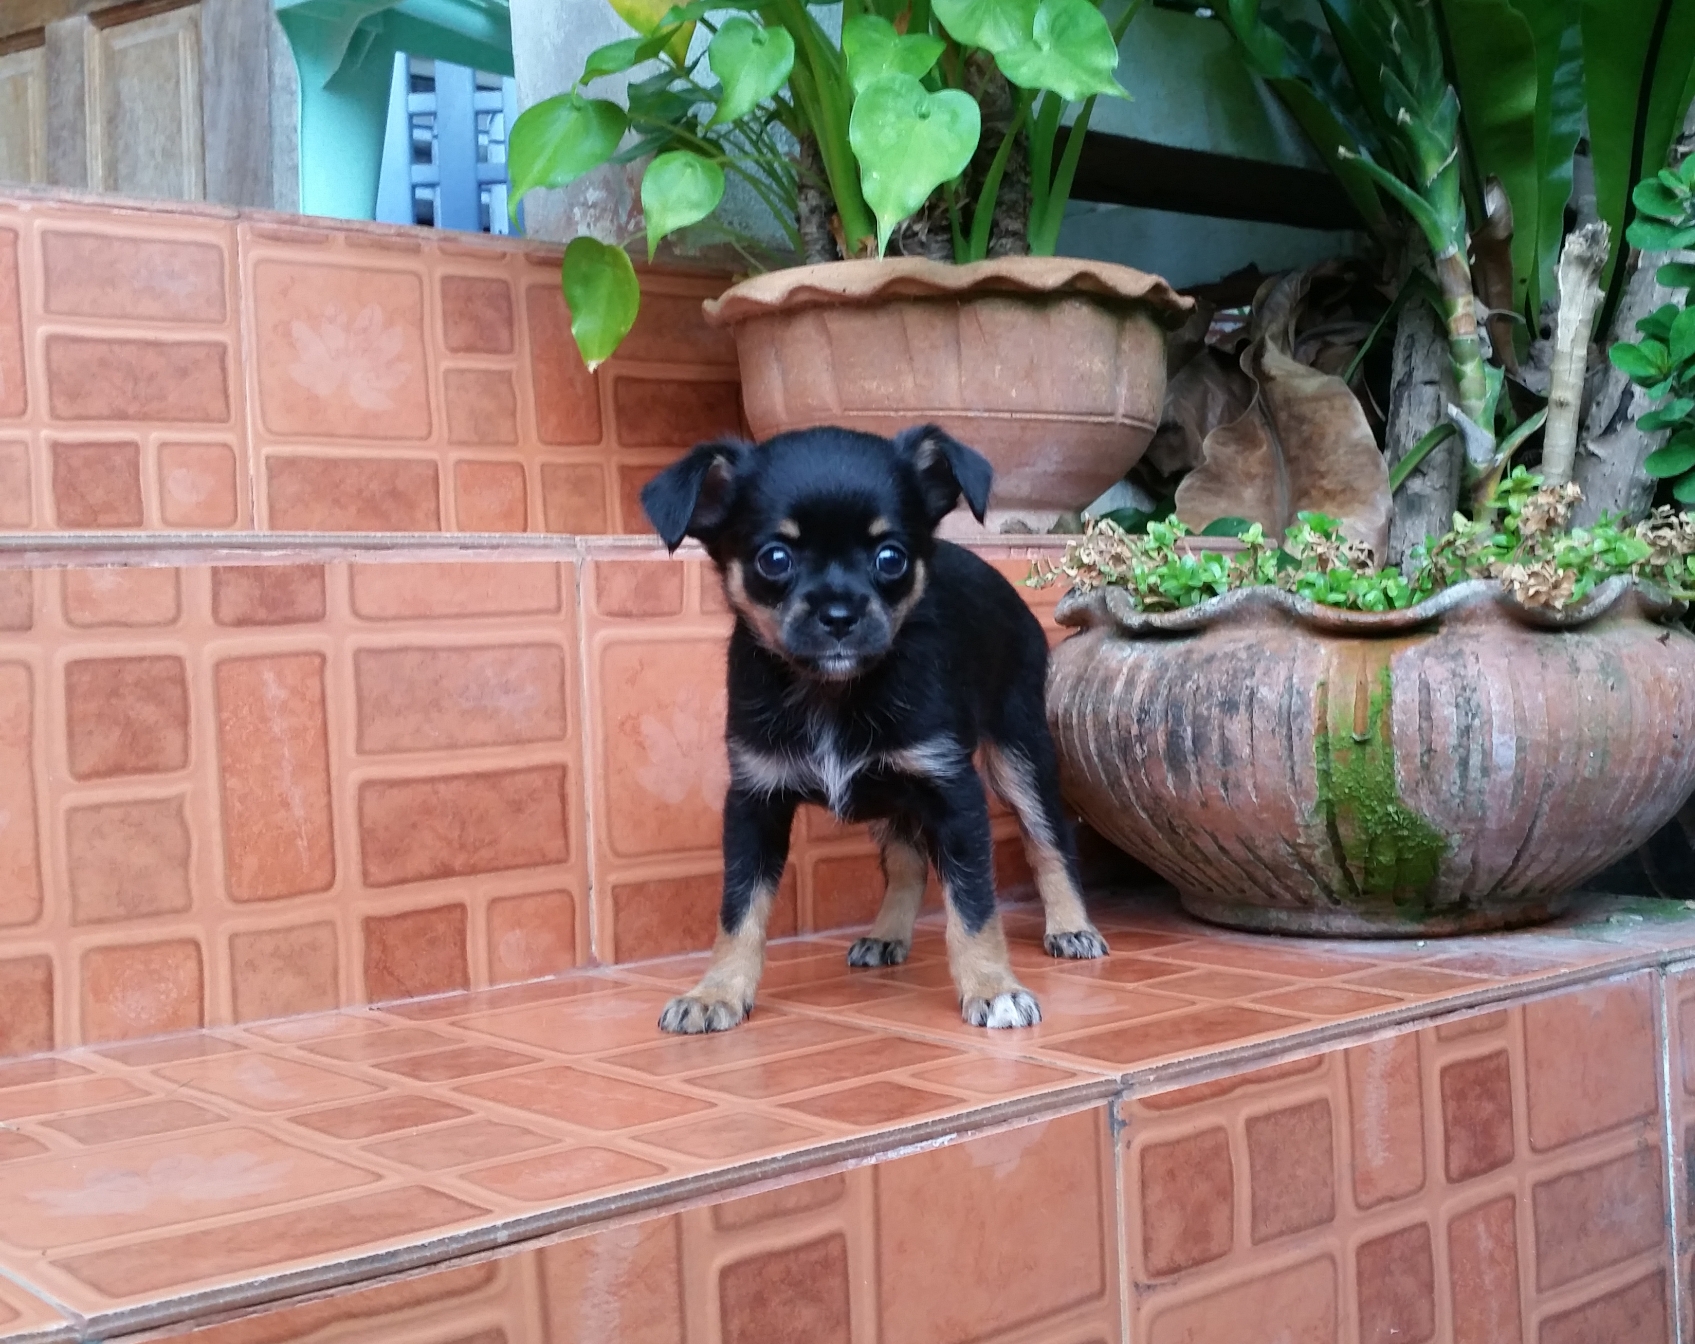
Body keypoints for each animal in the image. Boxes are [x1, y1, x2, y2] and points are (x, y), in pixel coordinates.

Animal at [639, 423, 1109, 1033]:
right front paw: (715, 992)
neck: (832, 690)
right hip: (892, 792)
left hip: (1019, 755)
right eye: (774, 558)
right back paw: (887, 934)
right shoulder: (755, 801)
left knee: (1048, 839)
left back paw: (1070, 926)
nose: (839, 616)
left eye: (891, 558)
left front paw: (993, 987)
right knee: (907, 860)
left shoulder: (953, 791)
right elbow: (738, 908)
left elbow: (974, 903)